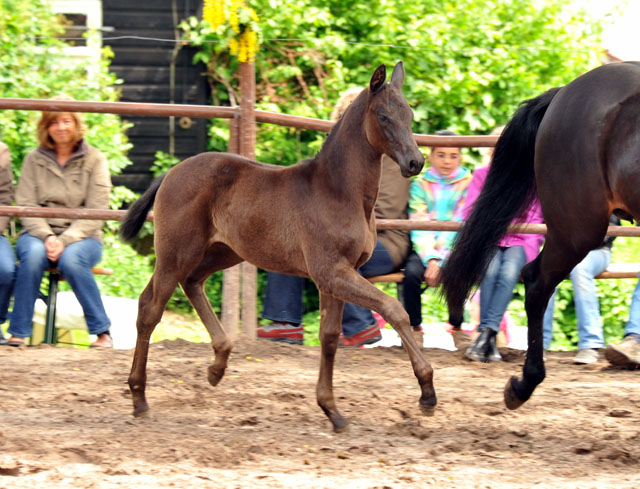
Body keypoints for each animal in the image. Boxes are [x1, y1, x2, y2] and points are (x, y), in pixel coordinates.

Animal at [120, 62, 430, 430]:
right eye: (383, 116)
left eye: (409, 114)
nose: (415, 162)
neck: (340, 191)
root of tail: (170, 173)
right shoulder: (331, 272)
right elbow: (395, 310)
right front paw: (427, 391)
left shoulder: (339, 275)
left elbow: (329, 337)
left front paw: (332, 411)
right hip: (176, 253)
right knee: (151, 309)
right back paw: (139, 397)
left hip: (222, 252)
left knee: (190, 283)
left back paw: (217, 366)